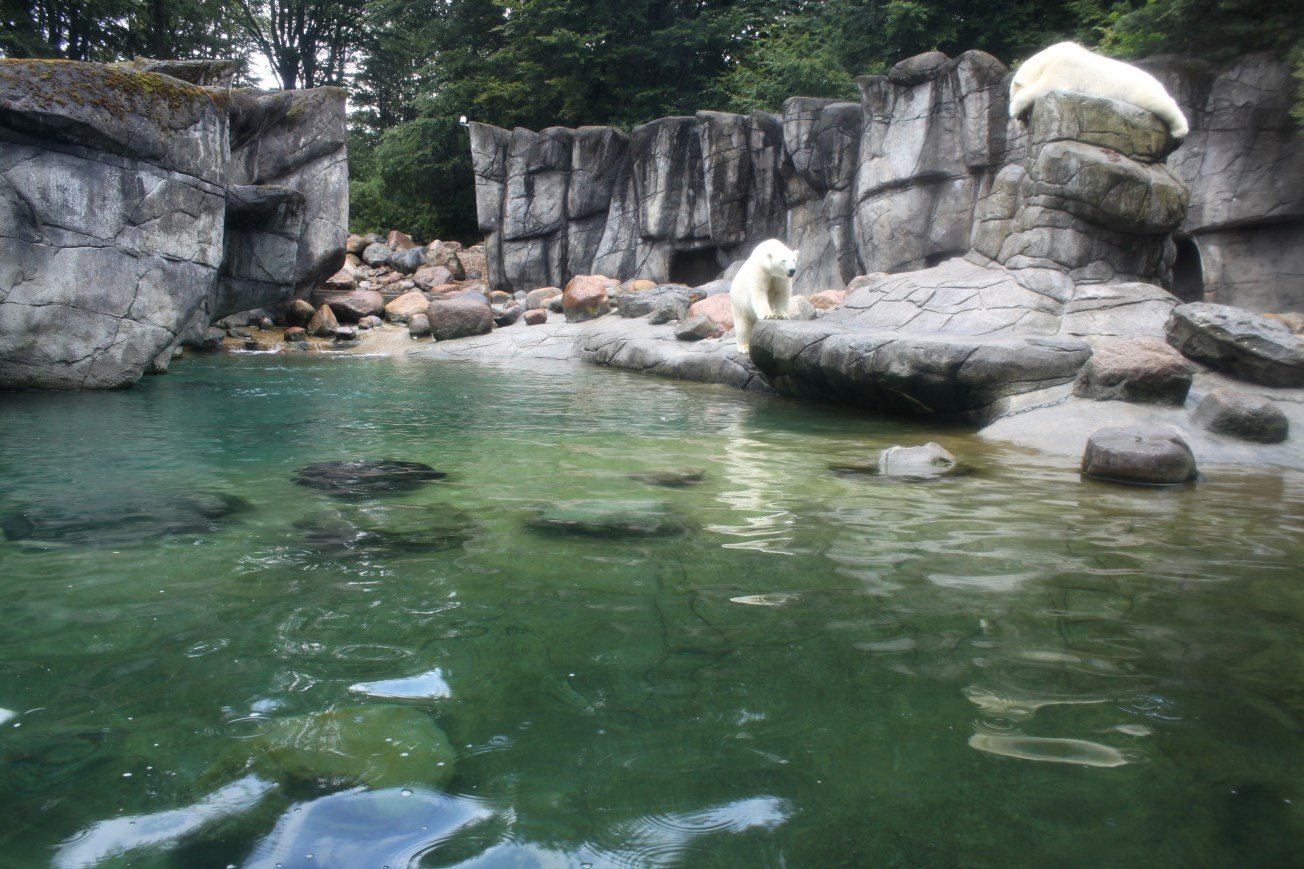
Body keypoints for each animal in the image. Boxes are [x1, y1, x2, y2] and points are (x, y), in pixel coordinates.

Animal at [1008, 42, 1189, 141]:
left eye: (1010, 96)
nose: (1021, 122)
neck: (1048, 57)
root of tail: (1158, 82)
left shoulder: (1064, 67)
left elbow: (1046, 85)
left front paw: (1013, 109)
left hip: (1140, 89)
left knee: (1160, 103)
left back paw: (1180, 131)